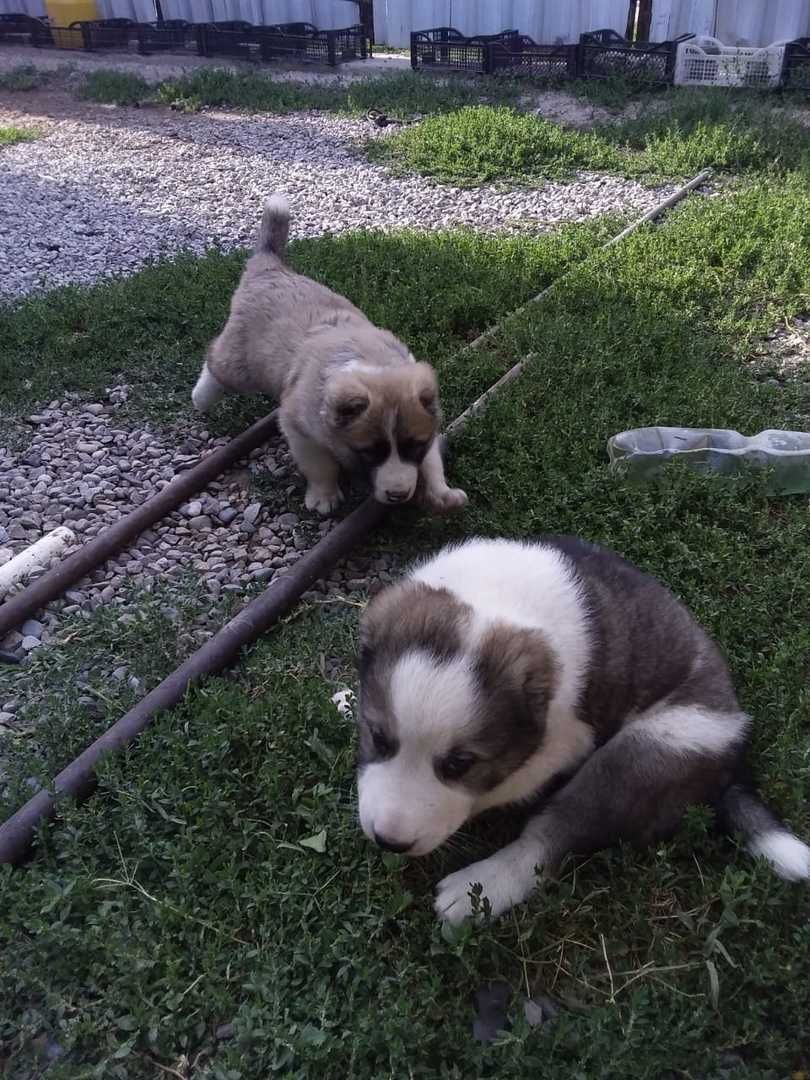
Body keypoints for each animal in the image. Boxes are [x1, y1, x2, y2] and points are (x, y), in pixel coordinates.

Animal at [192, 198, 468, 518]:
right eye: (369, 452)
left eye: (414, 446)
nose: (398, 495)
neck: (372, 365)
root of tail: (270, 266)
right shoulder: (301, 430)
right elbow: (320, 466)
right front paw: (324, 496)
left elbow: (432, 459)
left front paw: (442, 493)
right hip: (241, 364)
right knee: (216, 362)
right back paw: (201, 397)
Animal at [356, 535, 810, 924]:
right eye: (378, 738)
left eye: (459, 764)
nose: (389, 841)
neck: (493, 601)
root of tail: (734, 764)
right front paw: (345, 700)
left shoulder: (564, 744)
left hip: (645, 756)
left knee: (555, 835)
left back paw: (479, 888)